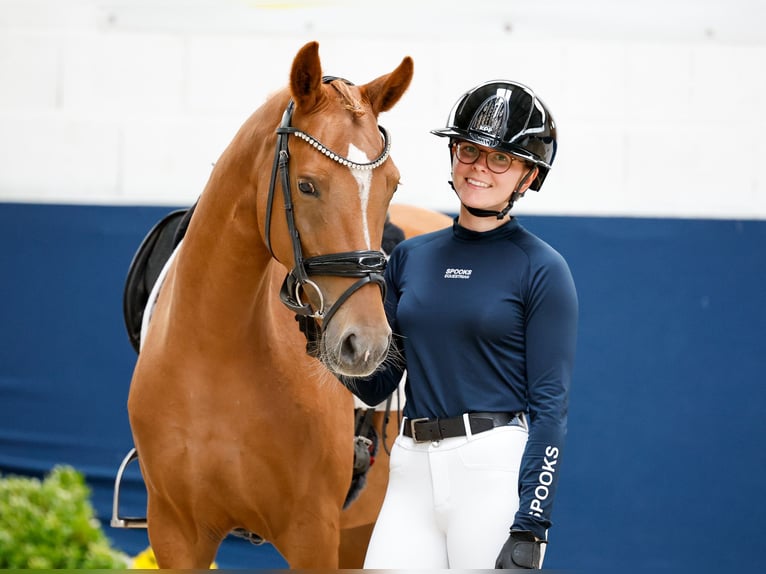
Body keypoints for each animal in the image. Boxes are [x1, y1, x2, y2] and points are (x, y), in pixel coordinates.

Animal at [125, 41, 414, 569]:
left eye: (393, 185)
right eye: (306, 185)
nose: (366, 343)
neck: (214, 352)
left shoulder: (312, 535)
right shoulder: (175, 534)